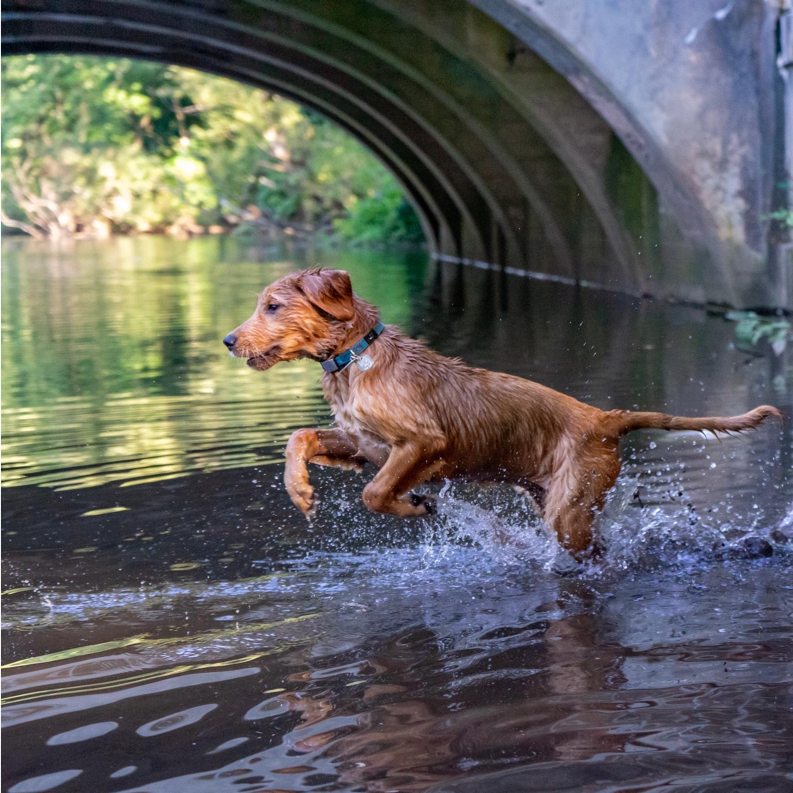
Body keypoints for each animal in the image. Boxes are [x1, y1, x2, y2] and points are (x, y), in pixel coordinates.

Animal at [223, 270, 780, 552]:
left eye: (272, 306)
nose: (228, 340)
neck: (357, 360)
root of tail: (605, 419)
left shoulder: (422, 443)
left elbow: (374, 492)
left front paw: (415, 506)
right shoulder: (363, 445)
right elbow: (299, 437)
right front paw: (299, 490)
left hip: (570, 510)